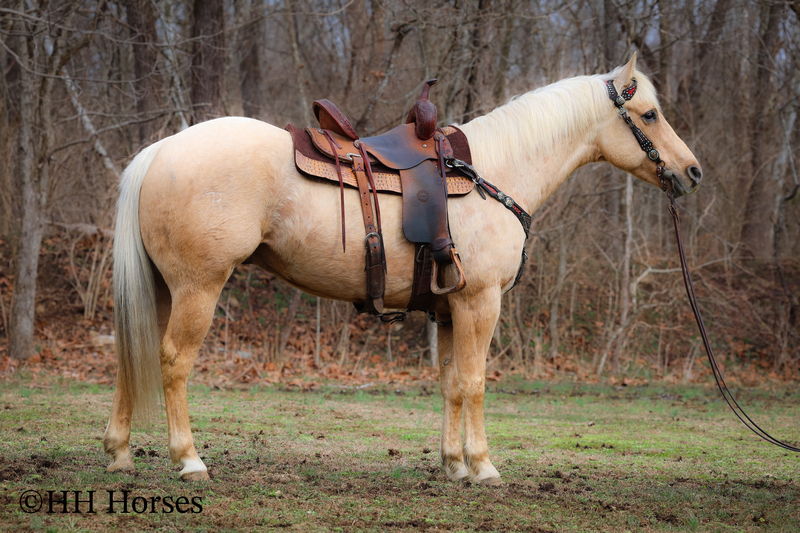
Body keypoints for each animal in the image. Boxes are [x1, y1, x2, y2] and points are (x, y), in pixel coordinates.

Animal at [104, 54, 702, 484]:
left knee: (133, 356)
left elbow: (452, 384)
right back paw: (189, 460)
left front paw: (453, 464)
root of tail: (161, 150)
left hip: (162, 290)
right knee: (173, 360)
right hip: (198, 288)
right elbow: (476, 382)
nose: (691, 172)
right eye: (650, 115)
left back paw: (120, 452)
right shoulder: (480, 302)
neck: (492, 173)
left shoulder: (449, 309)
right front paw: (483, 466)